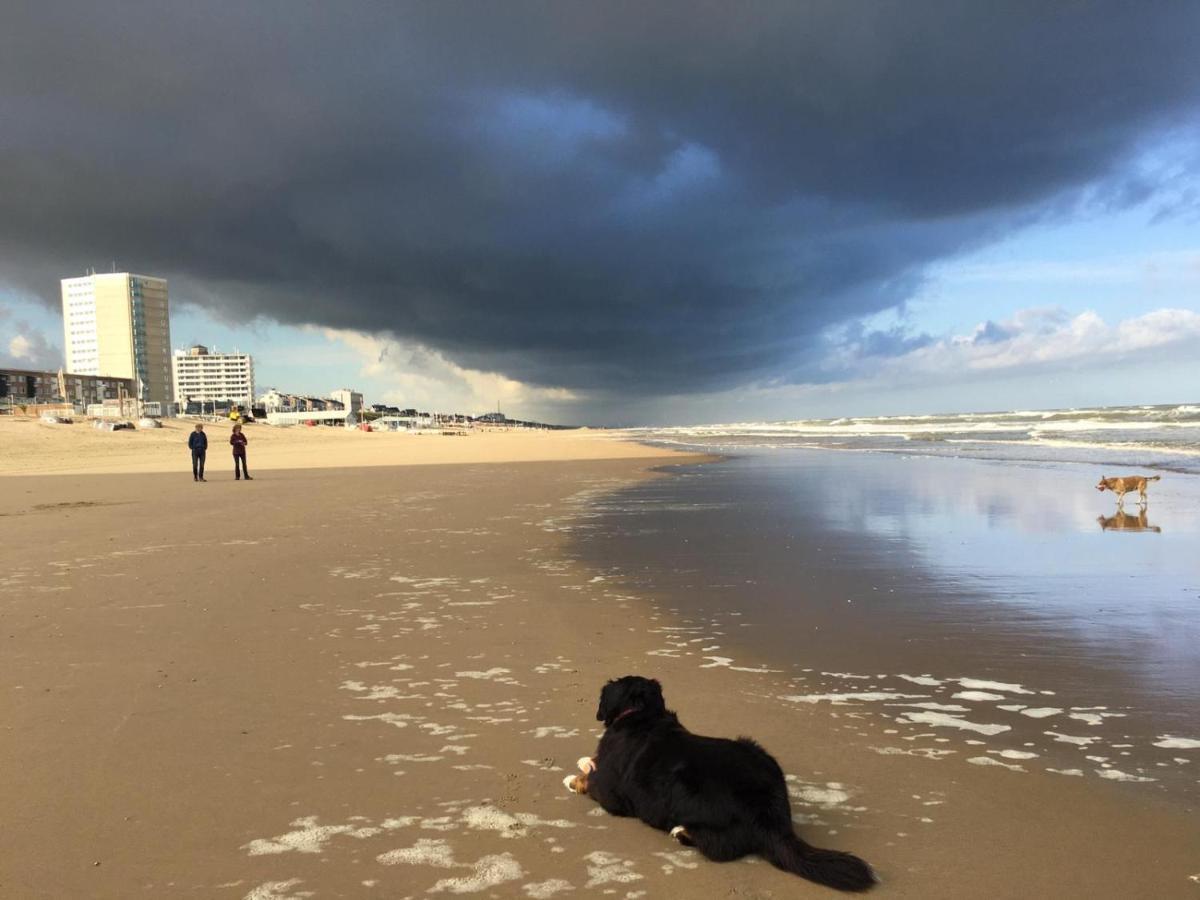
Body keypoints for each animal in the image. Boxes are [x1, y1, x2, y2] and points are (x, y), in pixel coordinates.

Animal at [566, 676, 878, 897]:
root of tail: (770, 807)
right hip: (753, 746)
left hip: (689, 791)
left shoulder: (610, 792)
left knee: (721, 846)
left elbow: (591, 778)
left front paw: (573, 778)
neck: (641, 714)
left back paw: (682, 832)